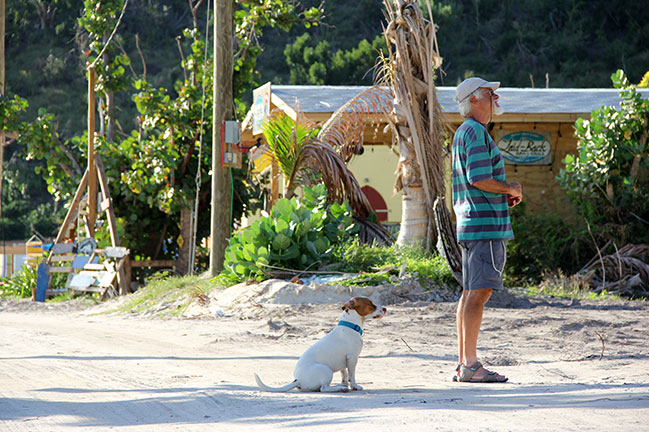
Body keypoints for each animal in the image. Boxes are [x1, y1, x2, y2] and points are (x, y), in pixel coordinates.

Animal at [254, 296, 386, 392]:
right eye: (371, 304)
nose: (385, 308)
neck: (350, 326)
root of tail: (298, 380)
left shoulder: (344, 361)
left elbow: (344, 374)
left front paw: (345, 384)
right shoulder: (352, 358)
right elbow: (352, 375)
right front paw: (355, 386)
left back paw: (341, 387)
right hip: (326, 370)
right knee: (324, 389)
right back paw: (339, 389)